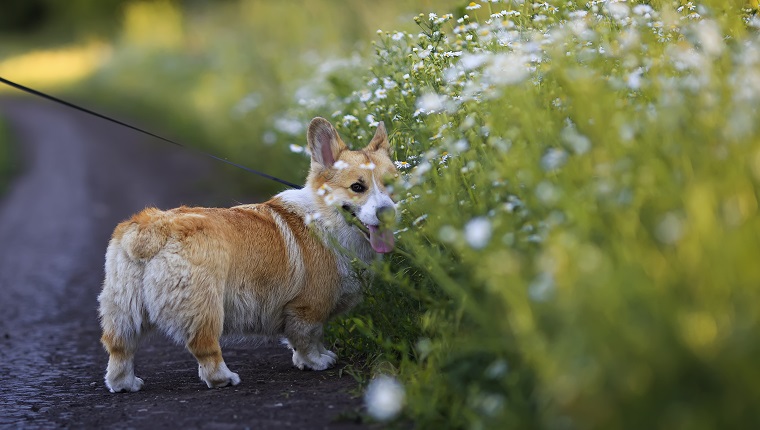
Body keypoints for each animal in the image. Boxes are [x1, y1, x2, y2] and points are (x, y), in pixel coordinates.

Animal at [98, 117, 398, 394]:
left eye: (391, 185)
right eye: (357, 187)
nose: (388, 213)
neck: (325, 218)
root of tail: (152, 230)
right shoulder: (308, 308)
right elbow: (308, 338)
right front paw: (316, 361)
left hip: (125, 307)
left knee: (118, 347)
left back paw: (124, 384)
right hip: (204, 307)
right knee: (204, 347)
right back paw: (224, 378)